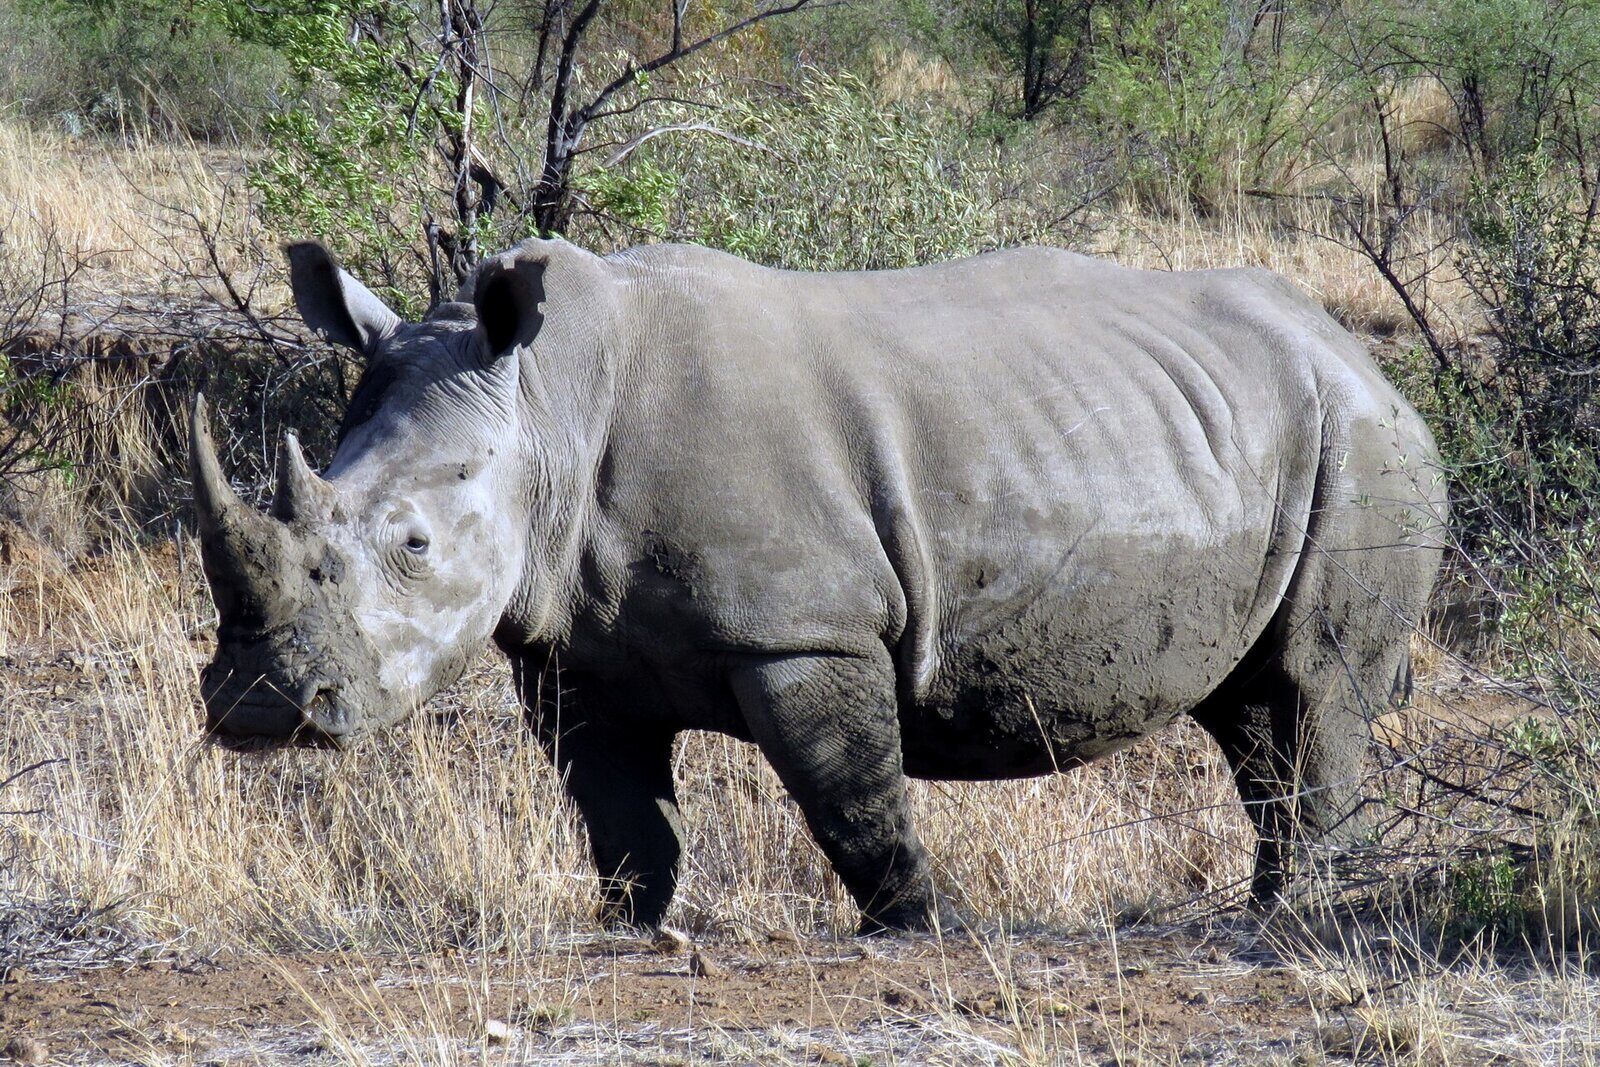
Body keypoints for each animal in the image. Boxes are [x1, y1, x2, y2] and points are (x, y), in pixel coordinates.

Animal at [193, 237, 1446, 932]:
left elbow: (851, 798)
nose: (259, 709)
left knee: (1313, 686)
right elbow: (618, 815)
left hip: (1362, 441)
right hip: (1254, 428)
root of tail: (1359, 352)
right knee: (1249, 712)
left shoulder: (802, 629)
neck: (542, 404)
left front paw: (919, 929)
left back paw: (1293, 923)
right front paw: (628, 926)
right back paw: (1277, 907)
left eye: (410, 544)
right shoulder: (566, 647)